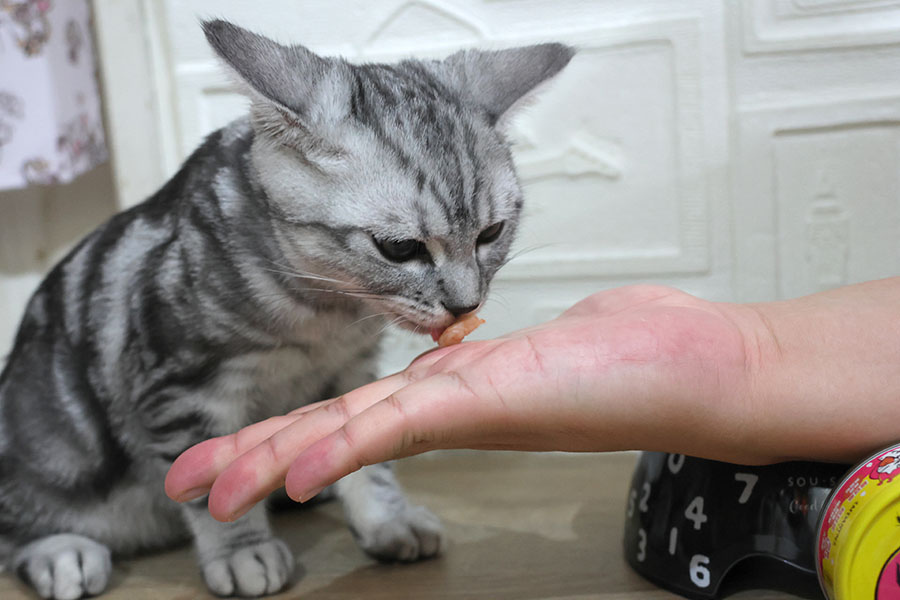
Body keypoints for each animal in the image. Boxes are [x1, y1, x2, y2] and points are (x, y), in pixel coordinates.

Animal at [0, 19, 576, 600]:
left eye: (491, 233)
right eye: (399, 249)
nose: (466, 302)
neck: (327, 314)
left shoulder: (349, 372)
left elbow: (370, 462)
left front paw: (387, 518)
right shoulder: (182, 388)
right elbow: (214, 481)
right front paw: (242, 549)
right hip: (52, 448)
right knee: (19, 529)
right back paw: (64, 552)